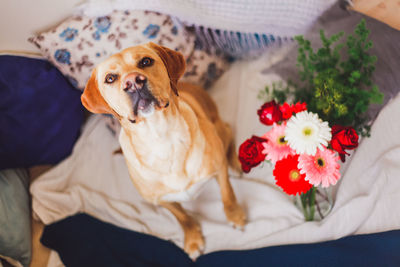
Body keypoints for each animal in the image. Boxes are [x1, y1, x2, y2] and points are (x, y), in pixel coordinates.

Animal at [80, 42, 245, 260]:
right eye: (110, 78)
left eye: (145, 61)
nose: (133, 82)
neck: (161, 136)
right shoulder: (161, 201)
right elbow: (182, 217)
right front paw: (192, 238)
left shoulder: (219, 170)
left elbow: (228, 195)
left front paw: (234, 215)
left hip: (219, 128)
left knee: (229, 133)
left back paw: (234, 163)